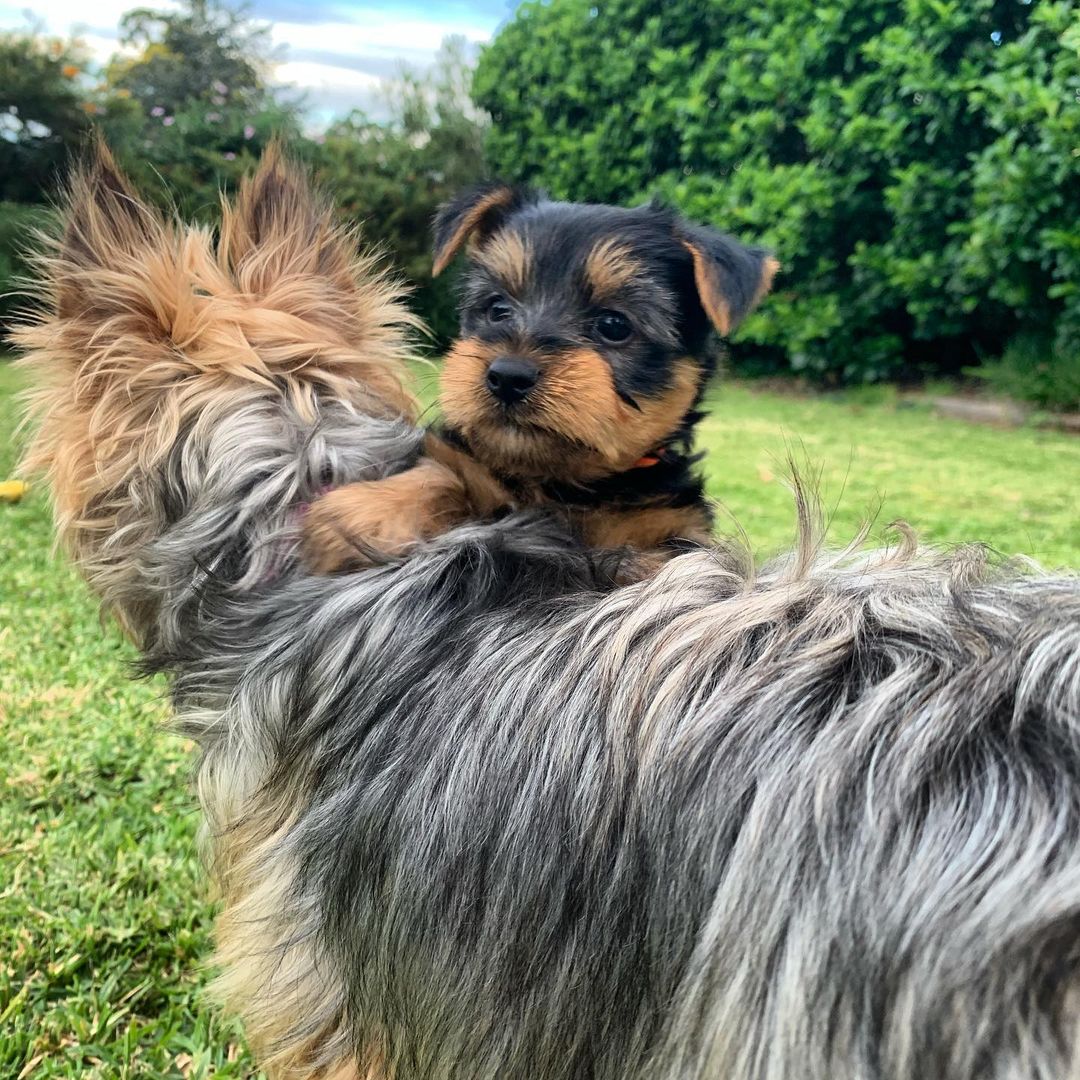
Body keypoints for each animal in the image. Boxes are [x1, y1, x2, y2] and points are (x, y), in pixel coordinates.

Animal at [301, 185, 778, 574]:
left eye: (614, 325)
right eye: (497, 308)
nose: (508, 376)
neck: (558, 485)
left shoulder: (676, 526)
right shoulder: (472, 466)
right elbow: (441, 472)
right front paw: (364, 509)